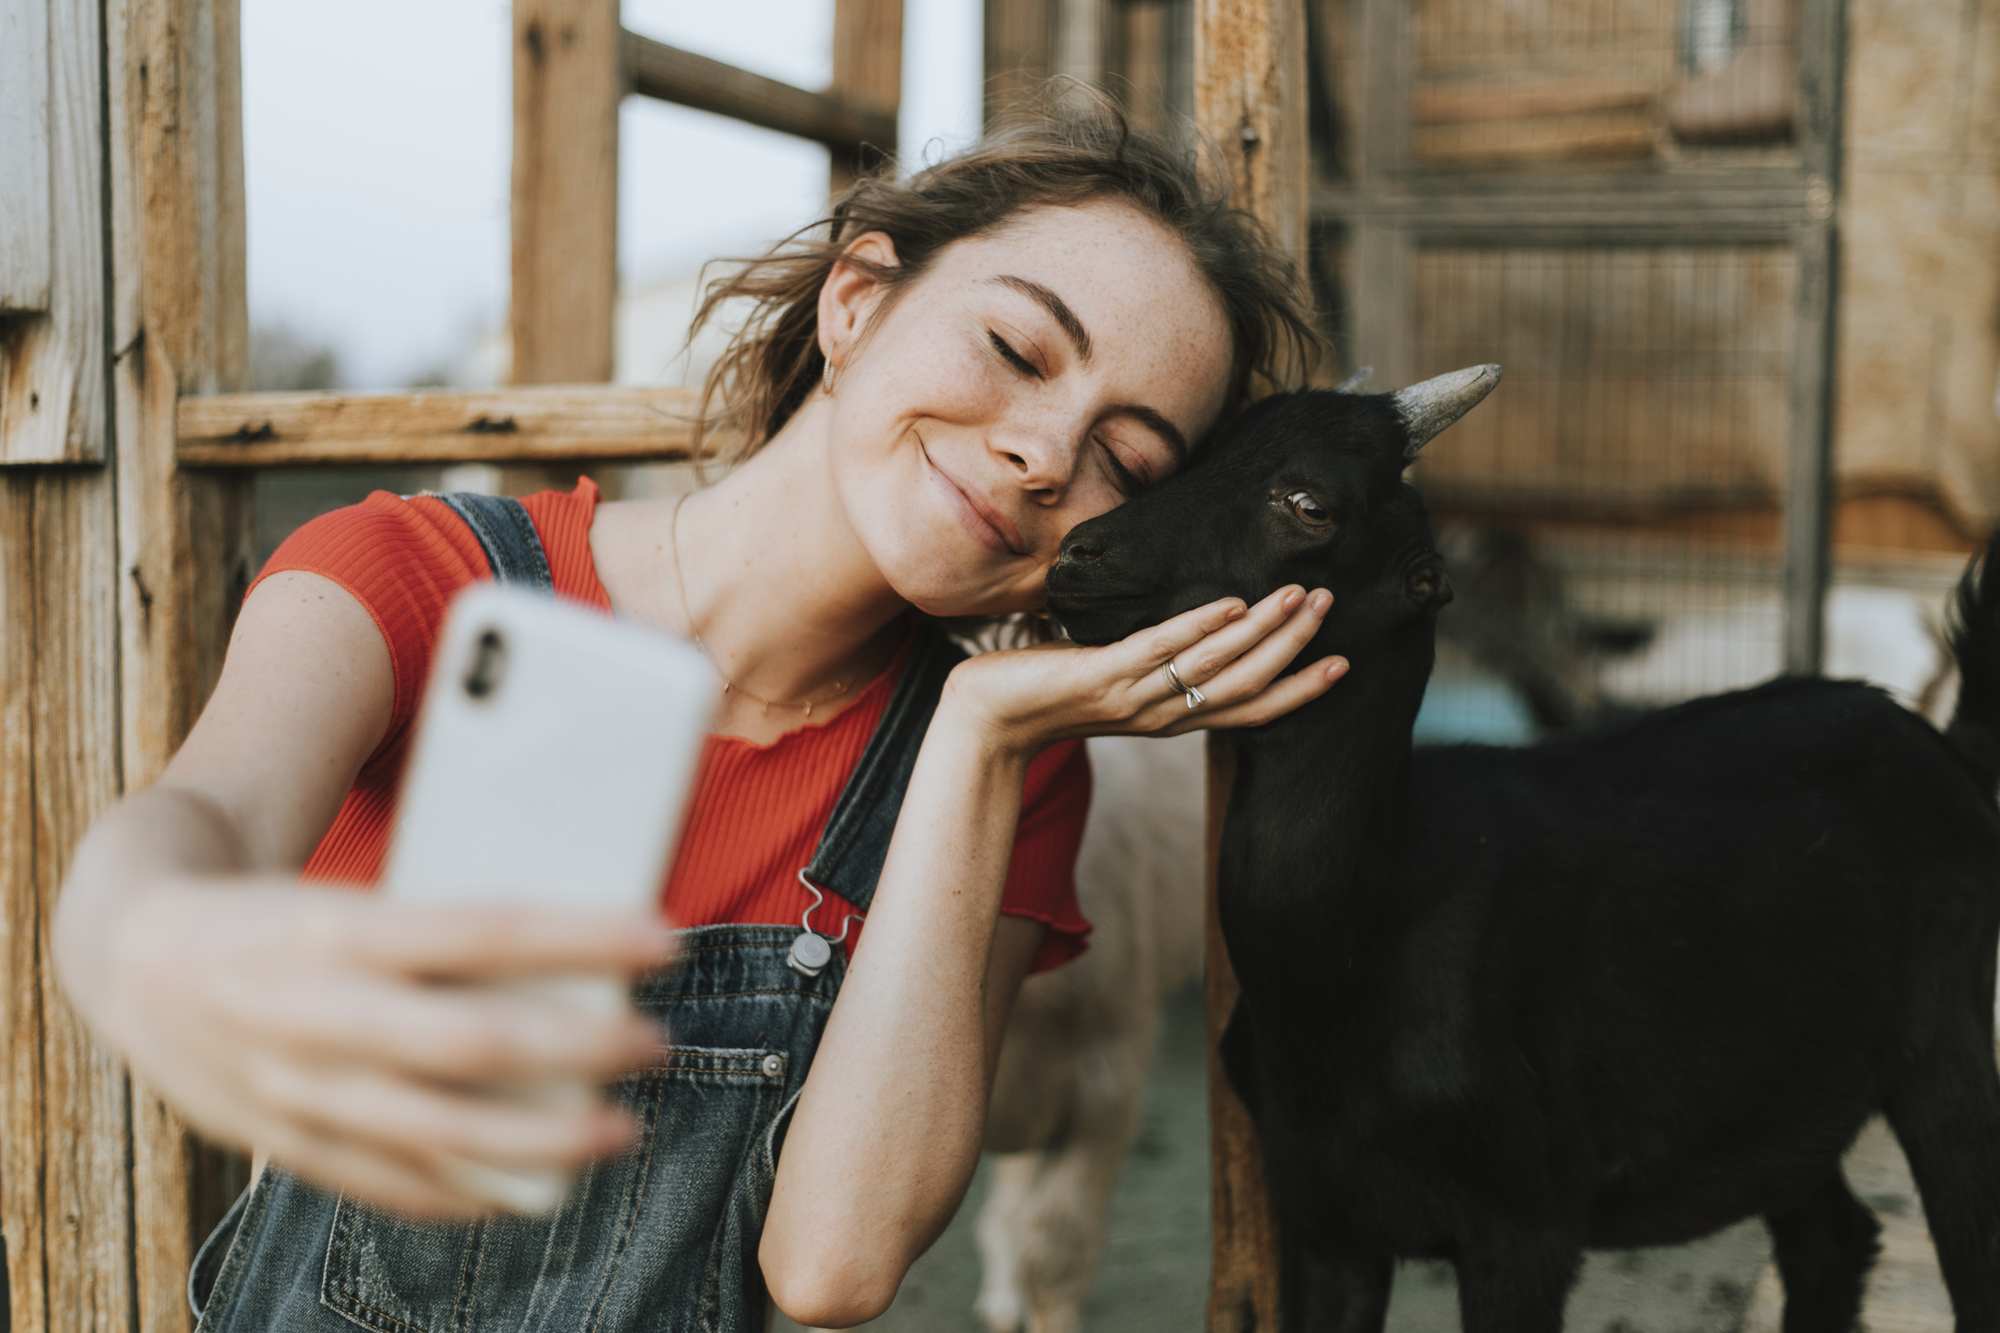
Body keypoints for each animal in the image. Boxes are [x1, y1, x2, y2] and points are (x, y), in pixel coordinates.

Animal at [1048, 370, 2000, 1328]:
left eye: (1310, 503)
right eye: (1198, 452)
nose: (1075, 560)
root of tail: (1953, 748)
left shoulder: (1525, 1224)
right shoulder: (1325, 1217)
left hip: (1946, 1034)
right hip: (1783, 1098)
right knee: (1830, 1240)